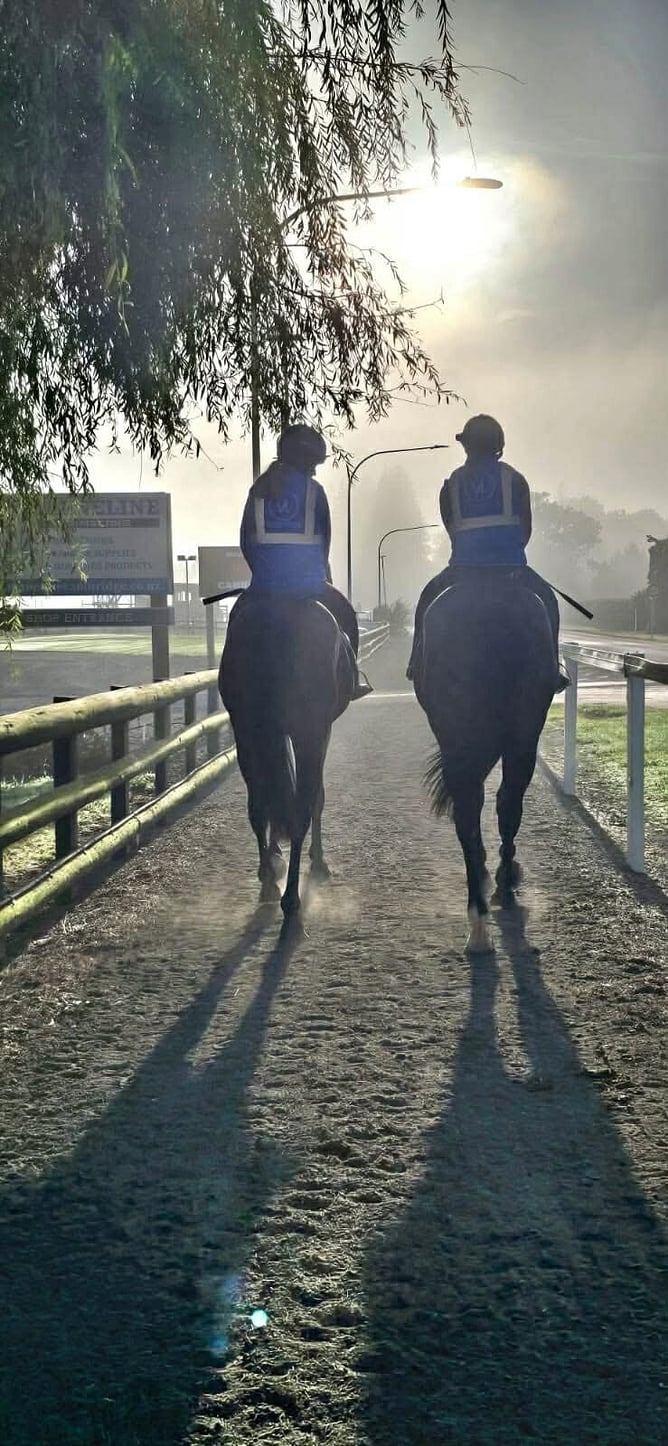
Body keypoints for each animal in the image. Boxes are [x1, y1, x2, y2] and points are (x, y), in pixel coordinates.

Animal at [219, 595, 355, 923]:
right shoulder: (321, 731)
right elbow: (317, 796)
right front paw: (315, 859)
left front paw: (274, 858)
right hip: (310, 731)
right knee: (300, 807)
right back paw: (292, 896)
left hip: (247, 734)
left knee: (259, 805)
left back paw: (269, 881)